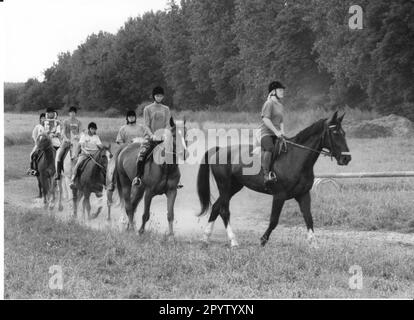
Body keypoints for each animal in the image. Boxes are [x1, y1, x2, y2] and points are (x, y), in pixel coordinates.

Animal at [196, 112, 350, 248]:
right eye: (335, 133)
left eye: (344, 133)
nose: (346, 158)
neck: (295, 159)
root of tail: (219, 150)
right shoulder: (279, 196)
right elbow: (274, 220)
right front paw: (263, 240)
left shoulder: (303, 194)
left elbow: (308, 218)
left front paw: (314, 244)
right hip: (224, 186)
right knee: (224, 211)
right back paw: (233, 241)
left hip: (234, 187)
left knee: (216, 207)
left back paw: (205, 239)